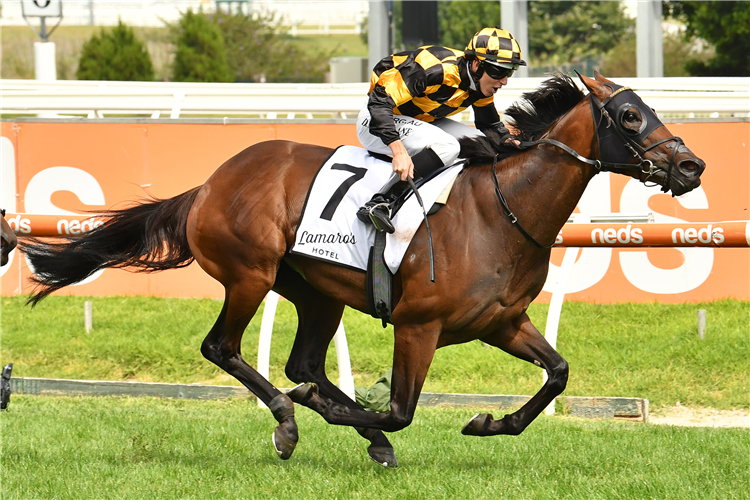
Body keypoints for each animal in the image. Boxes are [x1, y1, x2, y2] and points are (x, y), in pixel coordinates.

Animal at [20, 72, 708, 466]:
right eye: (629, 117)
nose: (692, 166)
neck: (503, 210)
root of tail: (210, 184)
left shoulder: (501, 322)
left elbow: (558, 373)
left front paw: (491, 421)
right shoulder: (418, 324)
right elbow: (399, 408)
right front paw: (364, 420)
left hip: (315, 293)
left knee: (303, 362)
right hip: (250, 274)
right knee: (226, 348)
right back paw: (290, 422)